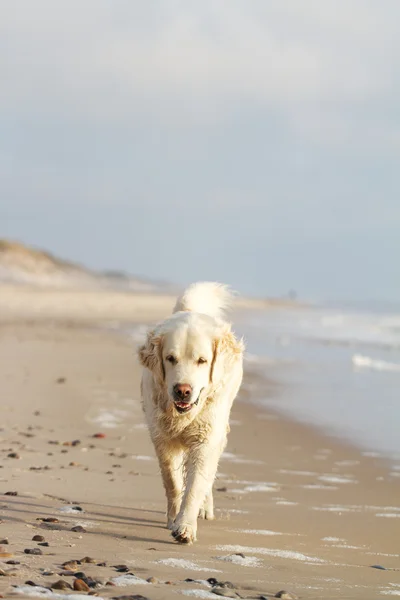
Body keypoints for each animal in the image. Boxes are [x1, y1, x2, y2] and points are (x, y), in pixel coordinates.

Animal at [138, 282, 244, 544]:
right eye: (170, 358)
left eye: (202, 361)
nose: (182, 391)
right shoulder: (162, 439)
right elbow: (173, 482)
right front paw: (173, 519)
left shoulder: (206, 439)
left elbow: (196, 485)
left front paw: (185, 526)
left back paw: (205, 508)